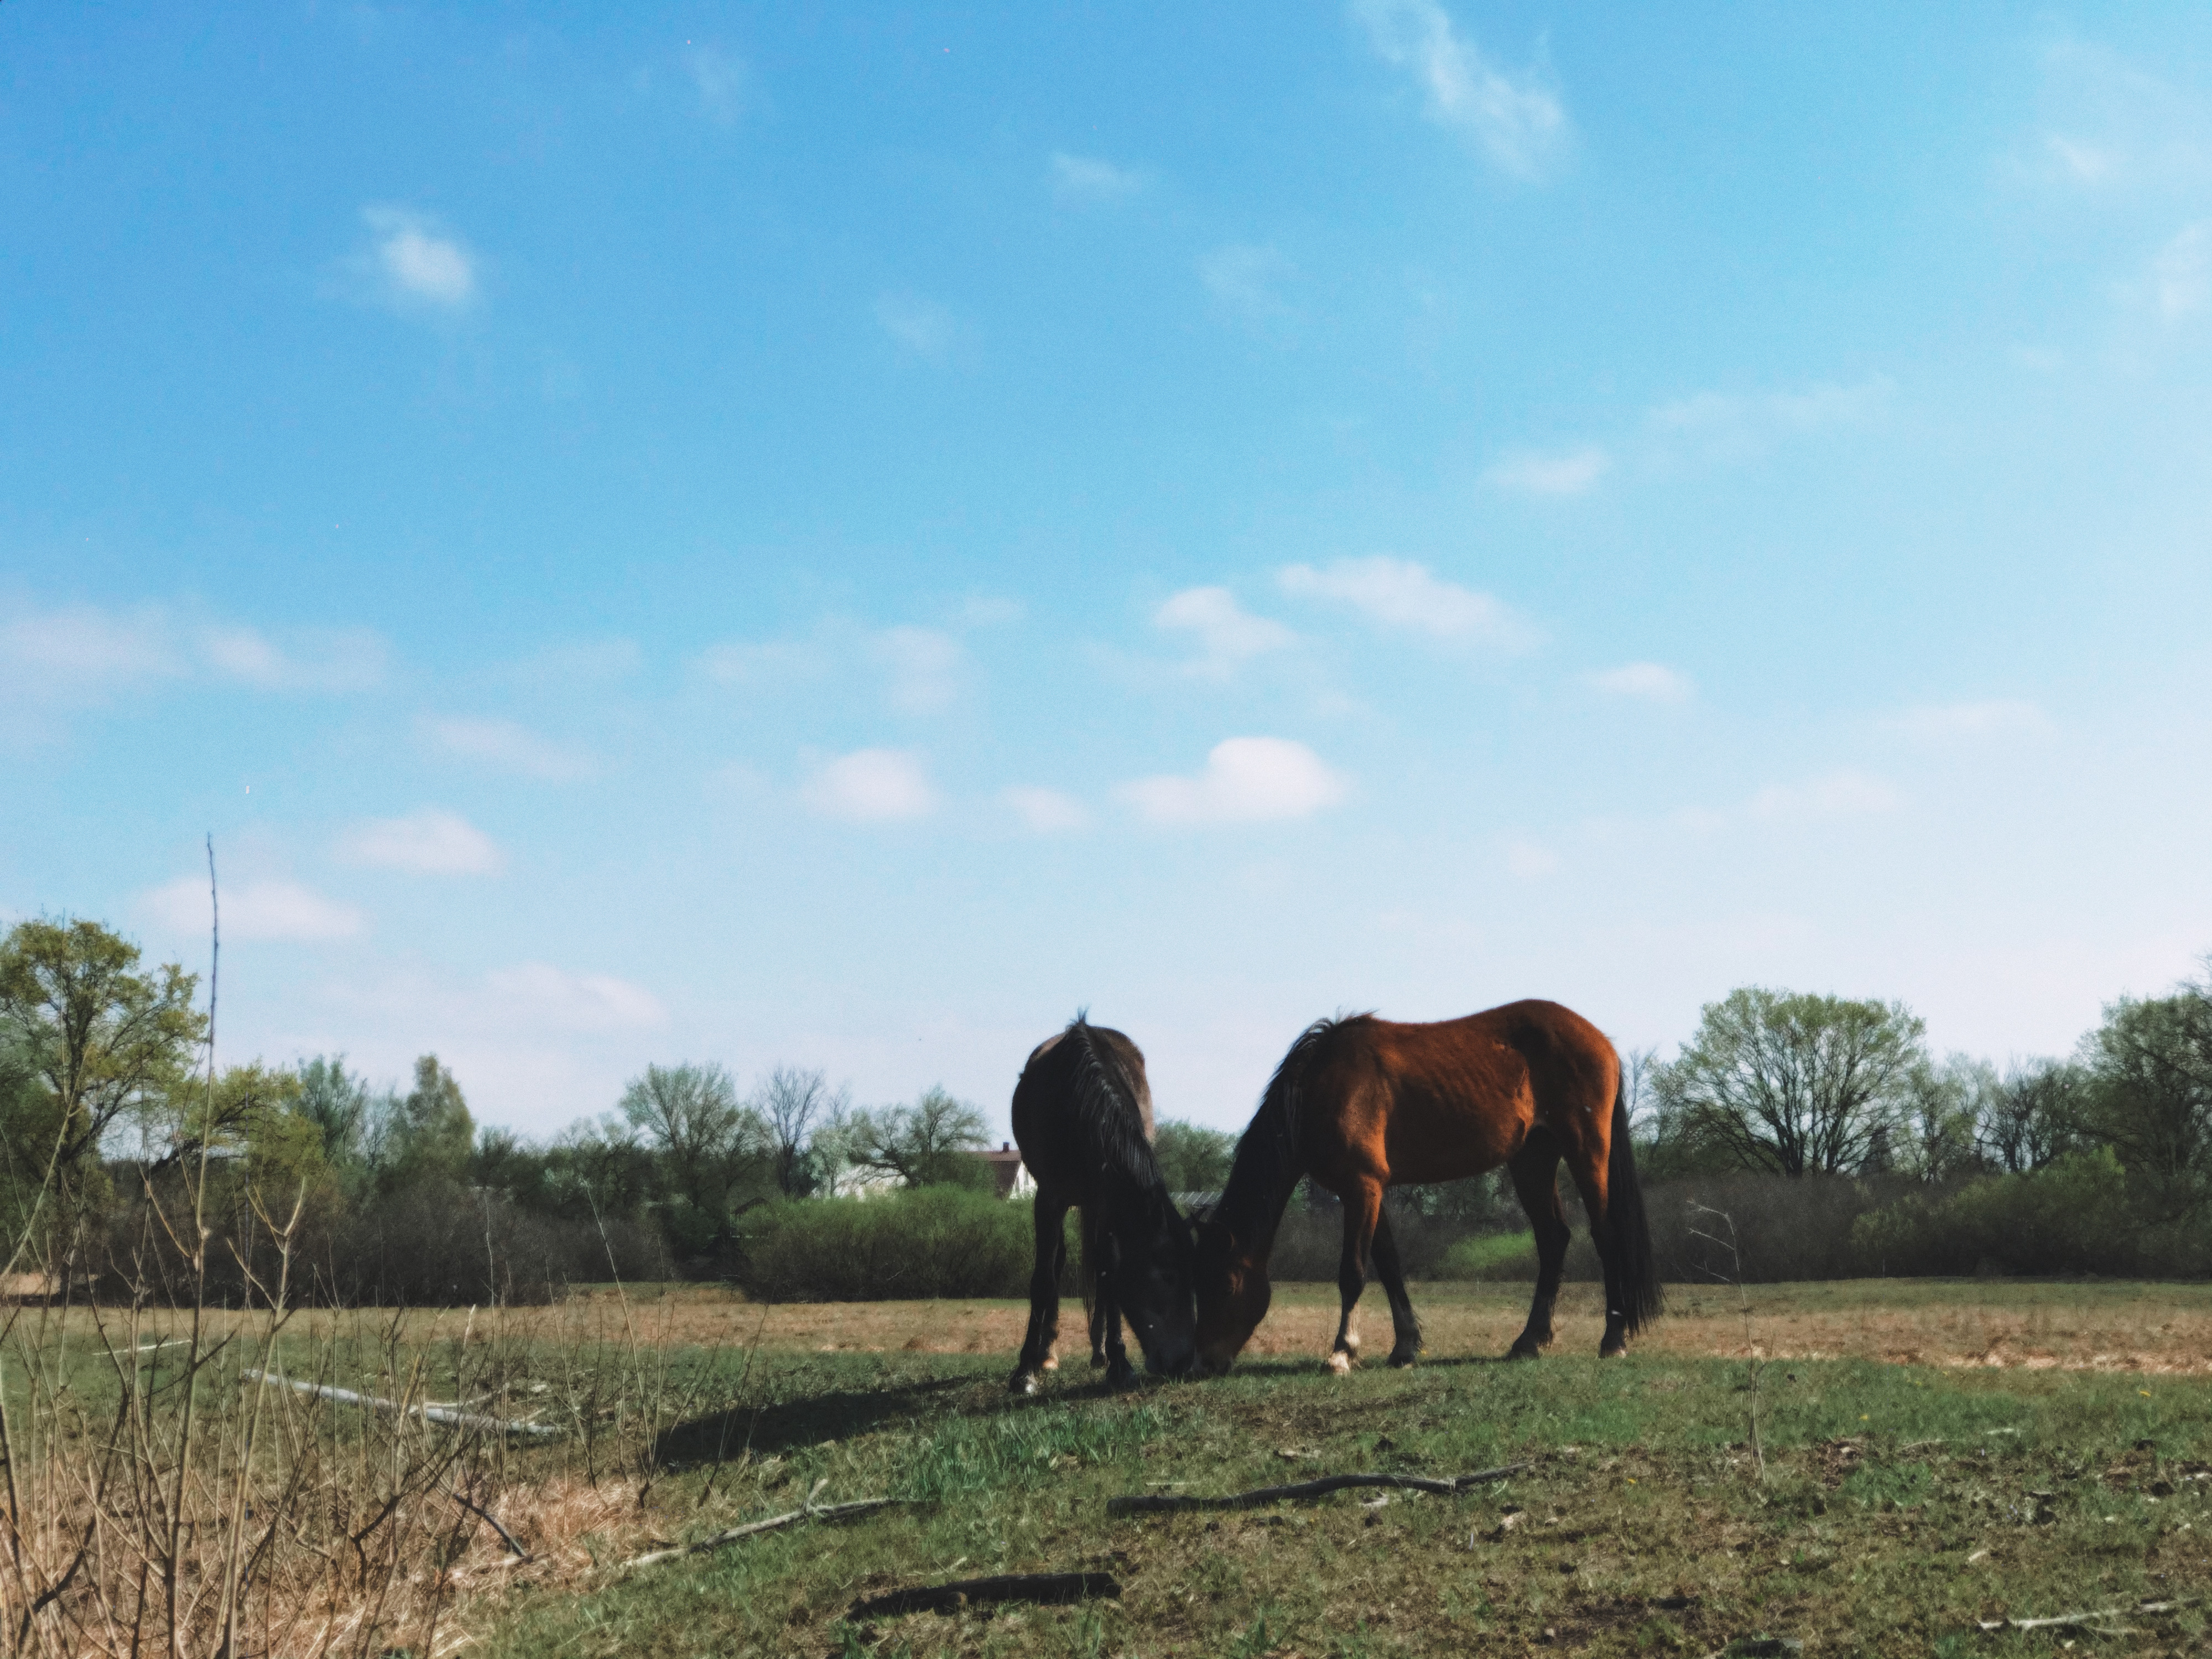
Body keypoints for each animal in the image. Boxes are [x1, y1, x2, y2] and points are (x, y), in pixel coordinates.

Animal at [1013, 1022, 1203, 1398]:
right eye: (1168, 1276)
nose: (1183, 1362)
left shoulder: (1108, 1205)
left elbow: (1110, 1273)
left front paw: (1119, 1362)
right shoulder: (1049, 1198)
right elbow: (1042, 1279)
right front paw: (1025, 1370)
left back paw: (1100, 1352)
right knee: (1057, 1262)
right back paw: (1047, 1353)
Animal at [1194, 1000, 1663, 1380]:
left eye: (1226, 1286)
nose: (1203, 1362)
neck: (1323, 1085)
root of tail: (1600, 1041)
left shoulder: (1361, 1185)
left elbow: (1353, 1272)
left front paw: (1342, 1353)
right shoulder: (1368, 1191)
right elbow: (1388, 1265)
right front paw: (1404, 1346)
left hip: (1586, 1150)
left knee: (1604, 1236)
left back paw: (1613, 1339)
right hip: (1532, 1159)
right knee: (1553, 1239)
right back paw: (1529, 1340)